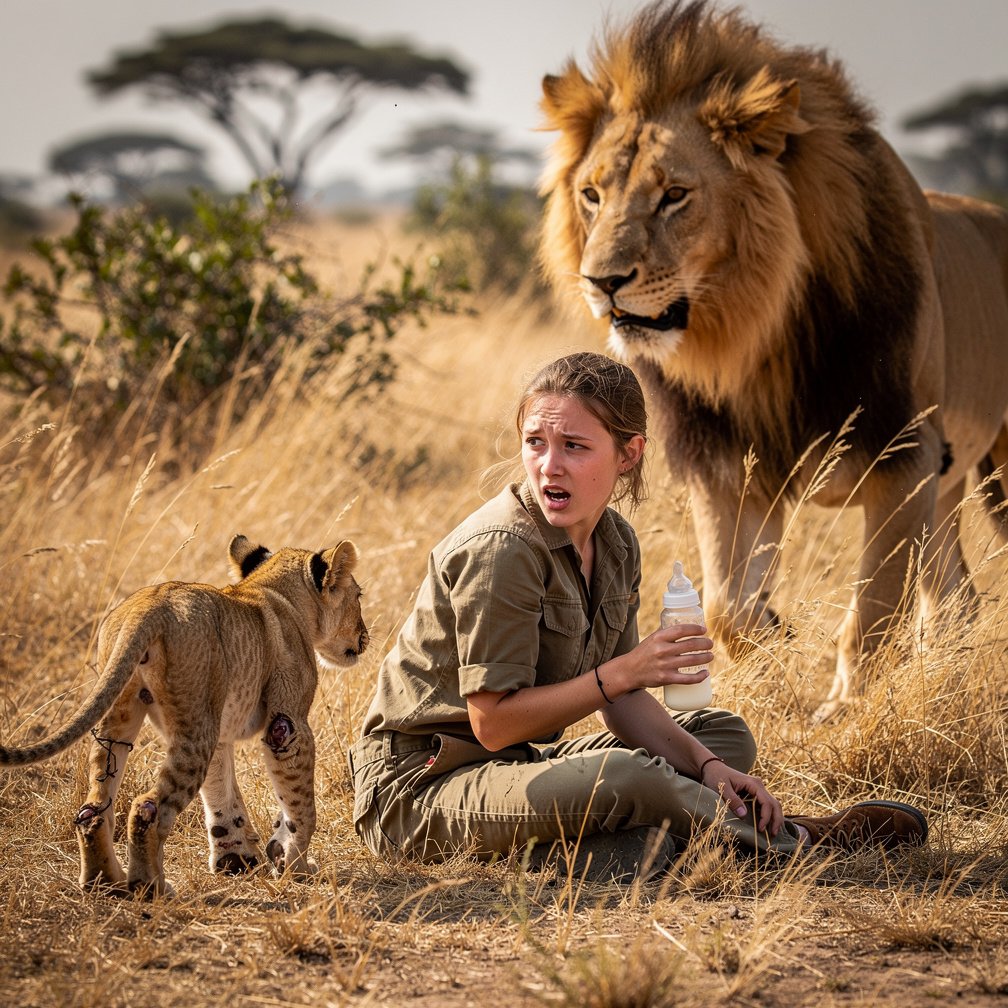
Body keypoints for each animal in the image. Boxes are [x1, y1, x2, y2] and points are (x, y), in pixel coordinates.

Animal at [0, 534, 368, 897]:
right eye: (359, 595)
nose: (365, 637)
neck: (279, 594)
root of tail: (148, 606)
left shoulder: (220, 732)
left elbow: (222, 794)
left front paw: (237, 860)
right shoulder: (287, 725)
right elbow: (301, 808)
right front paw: (293, 863)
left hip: (128, 715)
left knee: (93, 807)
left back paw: (104, 882)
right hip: (195, 728)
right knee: (147, 806)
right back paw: (150, 887)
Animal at [538, 0, 1008, 718]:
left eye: (675, 195)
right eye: (591, 196)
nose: (602, 281)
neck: (762, 334)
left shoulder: (905, 457)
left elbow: (873, 615)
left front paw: (841, 713)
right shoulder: (730, 471)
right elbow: (728, 608)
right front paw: (773, 643)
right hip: (949, 488)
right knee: (955, 601)